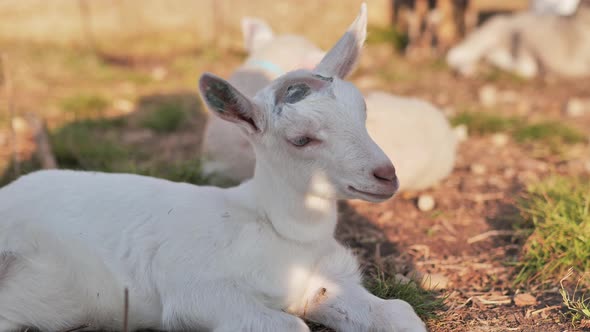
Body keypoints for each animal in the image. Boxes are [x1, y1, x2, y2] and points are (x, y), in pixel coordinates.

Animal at [0, 5, 428, 332]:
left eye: (363, 111)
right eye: (301, 139)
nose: (385, 174)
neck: (282, 234)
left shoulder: (325, 283)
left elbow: (400, 313)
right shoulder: (197, 292)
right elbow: (290, 325)